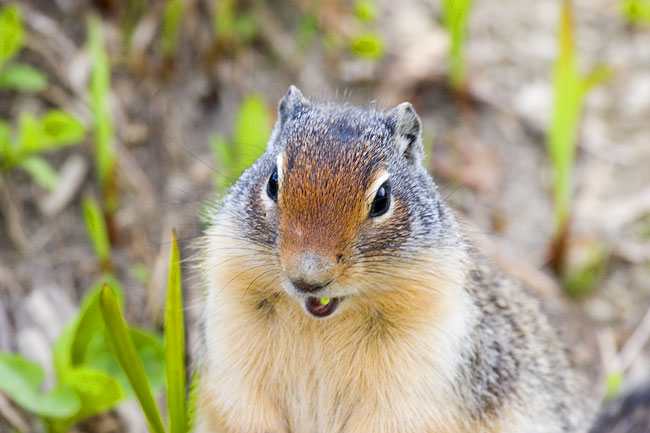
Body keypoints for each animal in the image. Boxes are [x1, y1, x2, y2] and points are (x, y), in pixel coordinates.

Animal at [195, 86, 596, 430]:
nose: (309, 277)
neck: (321, 323)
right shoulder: (231, 350)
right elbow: (245, 408)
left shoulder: (420, 371)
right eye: (273, 181)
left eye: (382, 199)